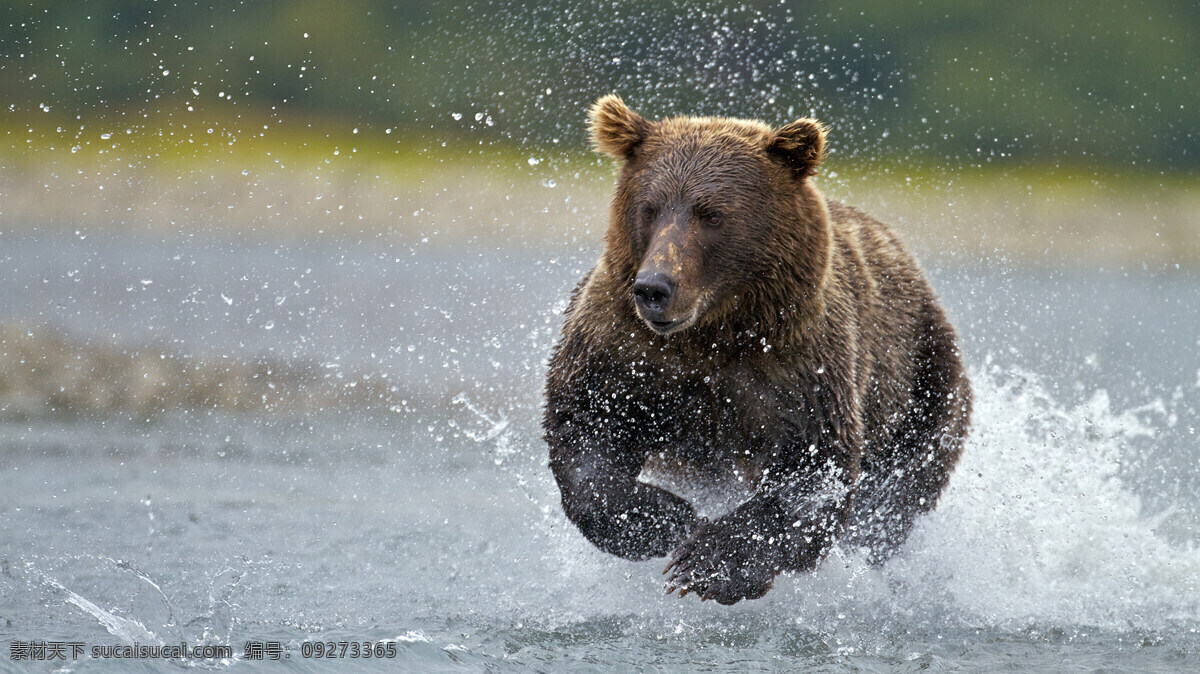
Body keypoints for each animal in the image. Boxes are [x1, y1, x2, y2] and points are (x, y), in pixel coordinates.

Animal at [543, 94, 972, 605]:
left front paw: (707, 564)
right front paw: (663, 519)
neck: (715, 331)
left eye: (711, 214)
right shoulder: (625, 349)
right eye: (650, 208)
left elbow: (812, 469)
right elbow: (586, 425)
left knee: (895, 495)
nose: (654, 288)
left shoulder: (799, 367)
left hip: (924, 380)